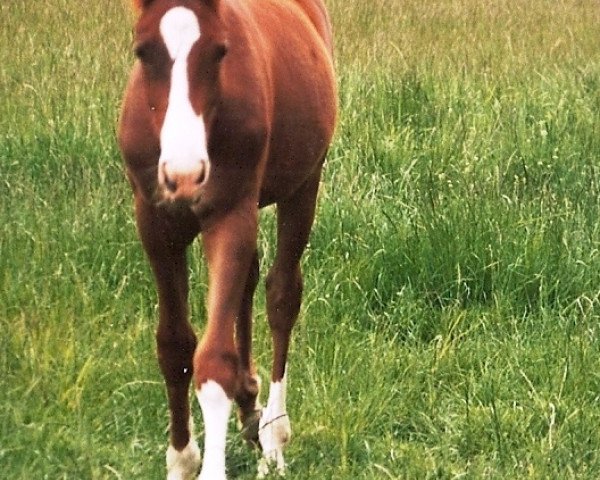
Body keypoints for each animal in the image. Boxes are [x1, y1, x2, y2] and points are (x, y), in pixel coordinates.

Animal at [115, 0, 336, 480]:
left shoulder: (230, 214)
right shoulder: (154, 223)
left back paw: (273, 434)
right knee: (249, 281)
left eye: (219, 52)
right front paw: (181, 458)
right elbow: (174, 345)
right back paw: (249, 406)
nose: (183, 174)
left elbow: (214, 357)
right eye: (142, 52)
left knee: (281, 294)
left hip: (303, 185)